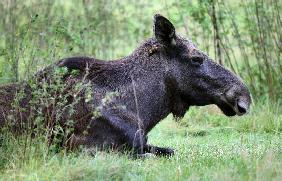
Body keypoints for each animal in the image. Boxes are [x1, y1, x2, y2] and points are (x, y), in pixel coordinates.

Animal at [0, 14, 251, 157]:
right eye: (196, 58)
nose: (244, 97)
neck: (144, 111)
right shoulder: (91, 149)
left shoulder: (145, 144)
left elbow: (170, 151)